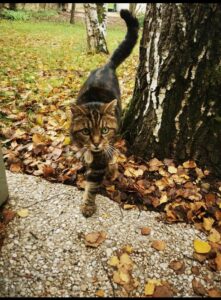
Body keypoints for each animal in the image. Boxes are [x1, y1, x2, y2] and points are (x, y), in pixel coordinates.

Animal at [70, 8, 139, 216]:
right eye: (85, 131)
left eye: (105, 130)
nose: (96, 143)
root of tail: (106, 66)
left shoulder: (100, 161)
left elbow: (92, 185)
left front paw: (88, 205)